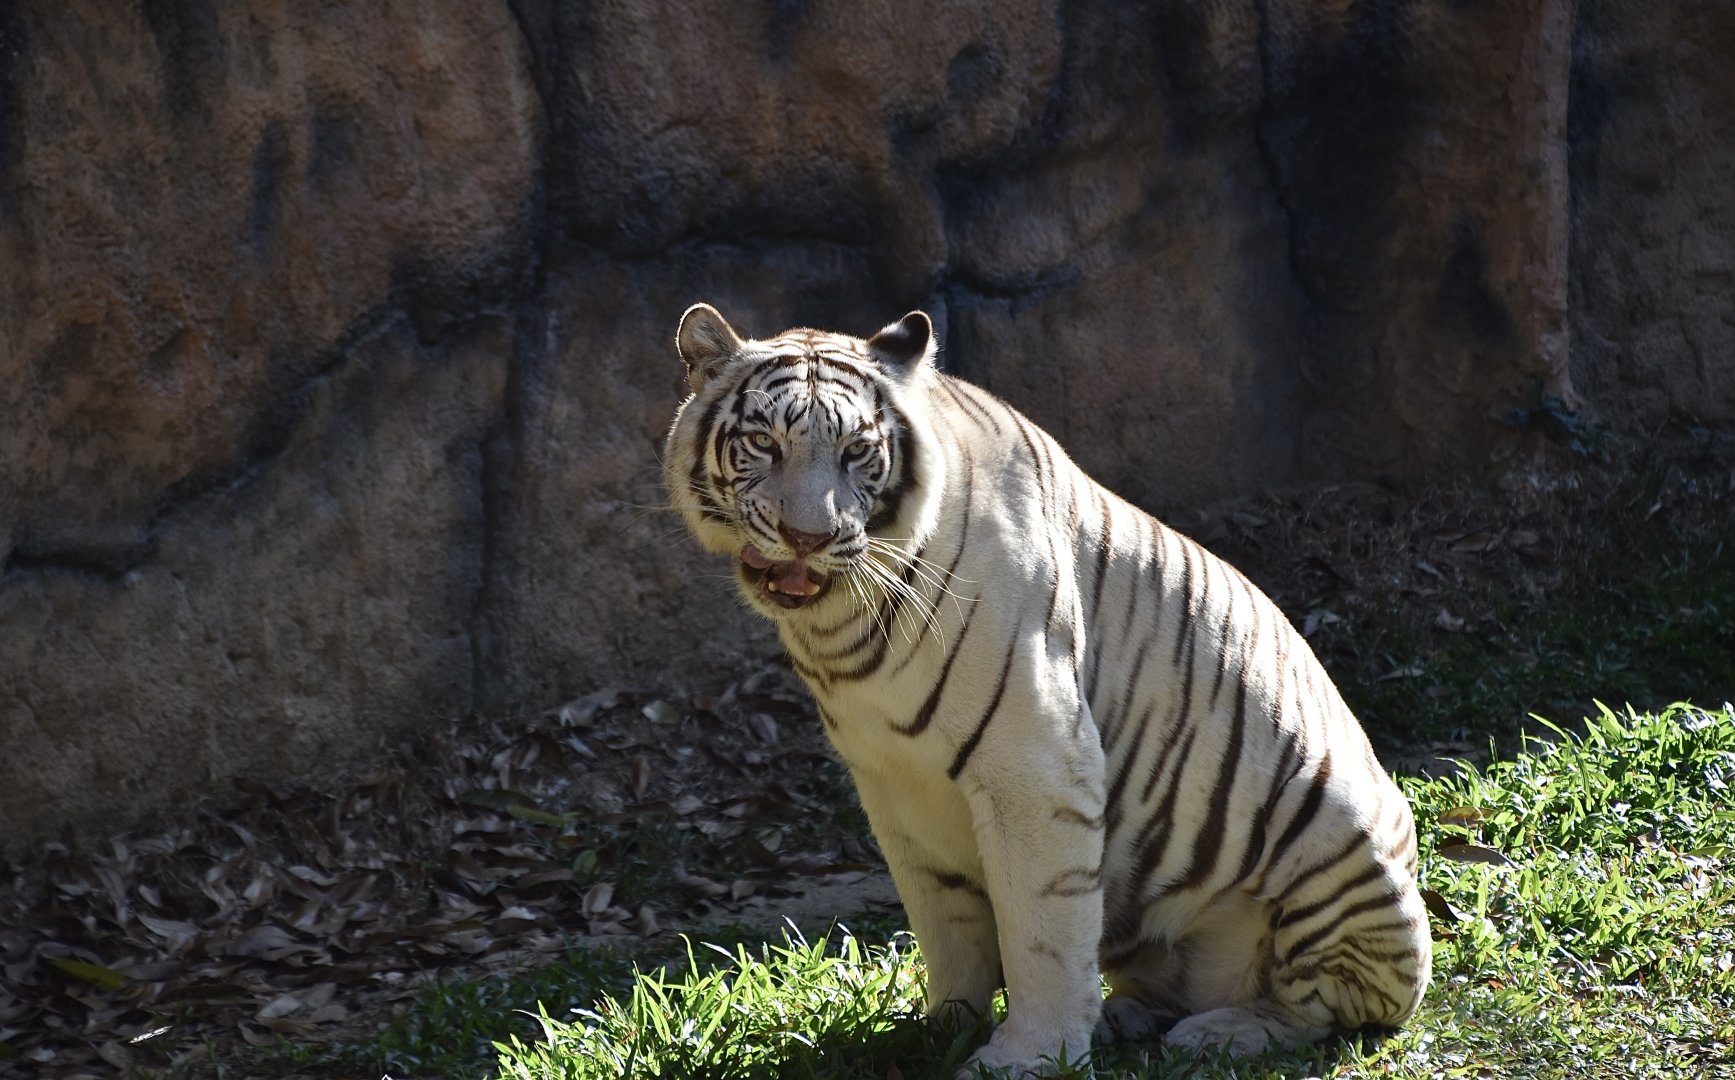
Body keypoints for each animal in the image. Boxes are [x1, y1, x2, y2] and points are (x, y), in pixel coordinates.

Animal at [663, 303, 1432, 1078]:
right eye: (763, 443)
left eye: (856, 451)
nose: (807, 537)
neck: (842, 623)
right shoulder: (893, 782)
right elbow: (943, 920)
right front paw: (940, 1030)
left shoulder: (1035, 763)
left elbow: (1039, 929)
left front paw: (1027, 1055)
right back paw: (1128, 1015)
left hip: (1340, 841)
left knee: (1319, 1010)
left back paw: (1220, 1033)